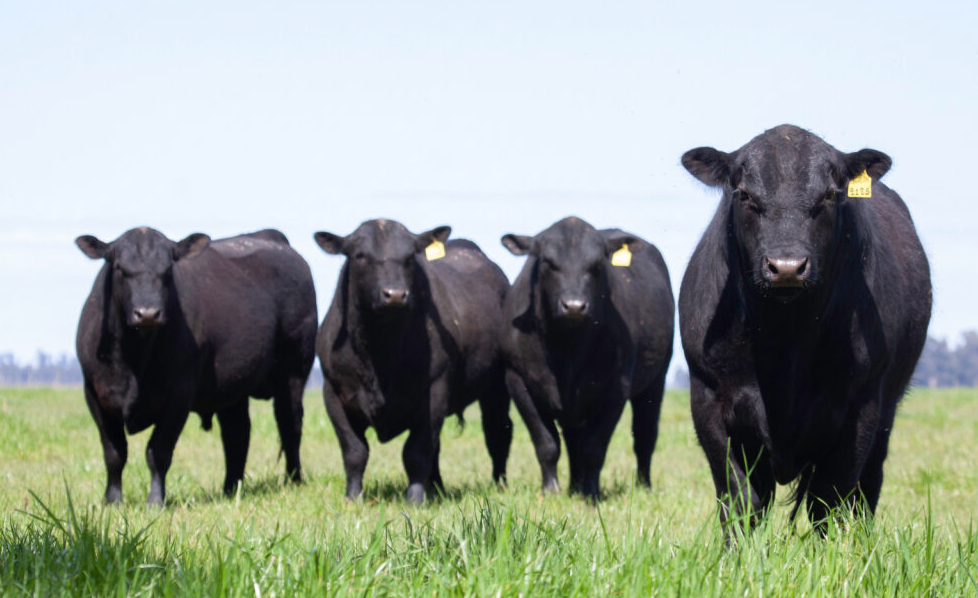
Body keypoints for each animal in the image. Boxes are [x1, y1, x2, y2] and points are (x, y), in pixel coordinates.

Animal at [75, 227, 318, 506]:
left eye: (167, 269)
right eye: (119, 268)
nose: (147, 313)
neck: (133, 359)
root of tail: (271, 237)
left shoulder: (180, 392)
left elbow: (158, 451)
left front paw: (155, 501)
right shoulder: (95, 393)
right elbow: (114, 452)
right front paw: (112, 501)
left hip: (294, 371)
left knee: (289, 424)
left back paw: (293, 480)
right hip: (233, 384)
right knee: (237, 433)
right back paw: (230, 488)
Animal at [314, 219, 512, 504]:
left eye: (410, 257)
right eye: (360, 255)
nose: (395, 294)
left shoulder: (434, 392)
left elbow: (416, 451)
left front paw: (415, 499)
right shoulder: (333, 393)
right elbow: (354, 450)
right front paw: (353, 497)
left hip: (497, 385)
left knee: (498, 432)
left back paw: (498, 484)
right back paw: (437, 487)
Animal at [500, 216, 674, 500]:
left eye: (597, 264)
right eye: (548, 261)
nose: (573, 306)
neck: (567, 348)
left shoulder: (617, 386)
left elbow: (594, 447)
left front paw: (591, 494)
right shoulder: (517, 380)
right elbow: (547, 443)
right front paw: (551, 490)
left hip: (656, 379)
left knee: (645, 436)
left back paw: (643, 486)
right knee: (572, 440)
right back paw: (573, 485)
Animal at [679, 124, 931, 532]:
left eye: (829, 194)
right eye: (744, 194)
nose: (786, 267)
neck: (784, 336)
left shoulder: (860, 407)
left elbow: (828, 501)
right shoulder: (709, 398)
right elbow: (740, 499)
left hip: (886, 413)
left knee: (867, 488)